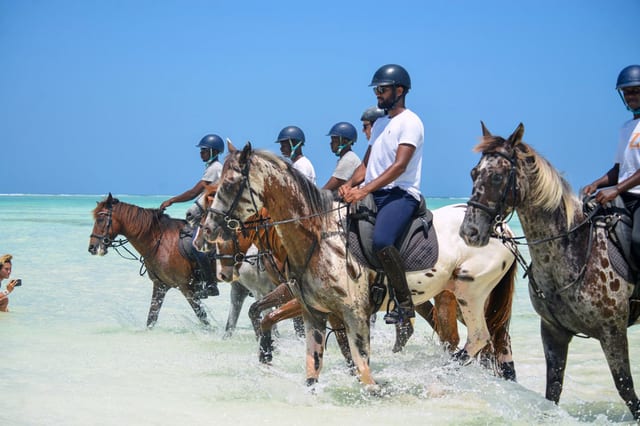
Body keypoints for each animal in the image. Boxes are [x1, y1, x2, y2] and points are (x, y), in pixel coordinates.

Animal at [200, 143, 517, 387]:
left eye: (229, 184)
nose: (208, 231)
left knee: (476, 338)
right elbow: (319, 353)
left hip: (468, 293)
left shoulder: (342, 309)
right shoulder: (319, 309)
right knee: (487, 339)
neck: (319, 235)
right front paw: (267, 356)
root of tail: (502, 229)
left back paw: (442, 372)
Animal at [459, 122, 640, 420]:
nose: (469, 232)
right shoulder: (553, 332)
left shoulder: (613, 332)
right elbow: (552, 390)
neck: (575, 248)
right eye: (474, 173)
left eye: (497, 177)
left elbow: (626, 389)